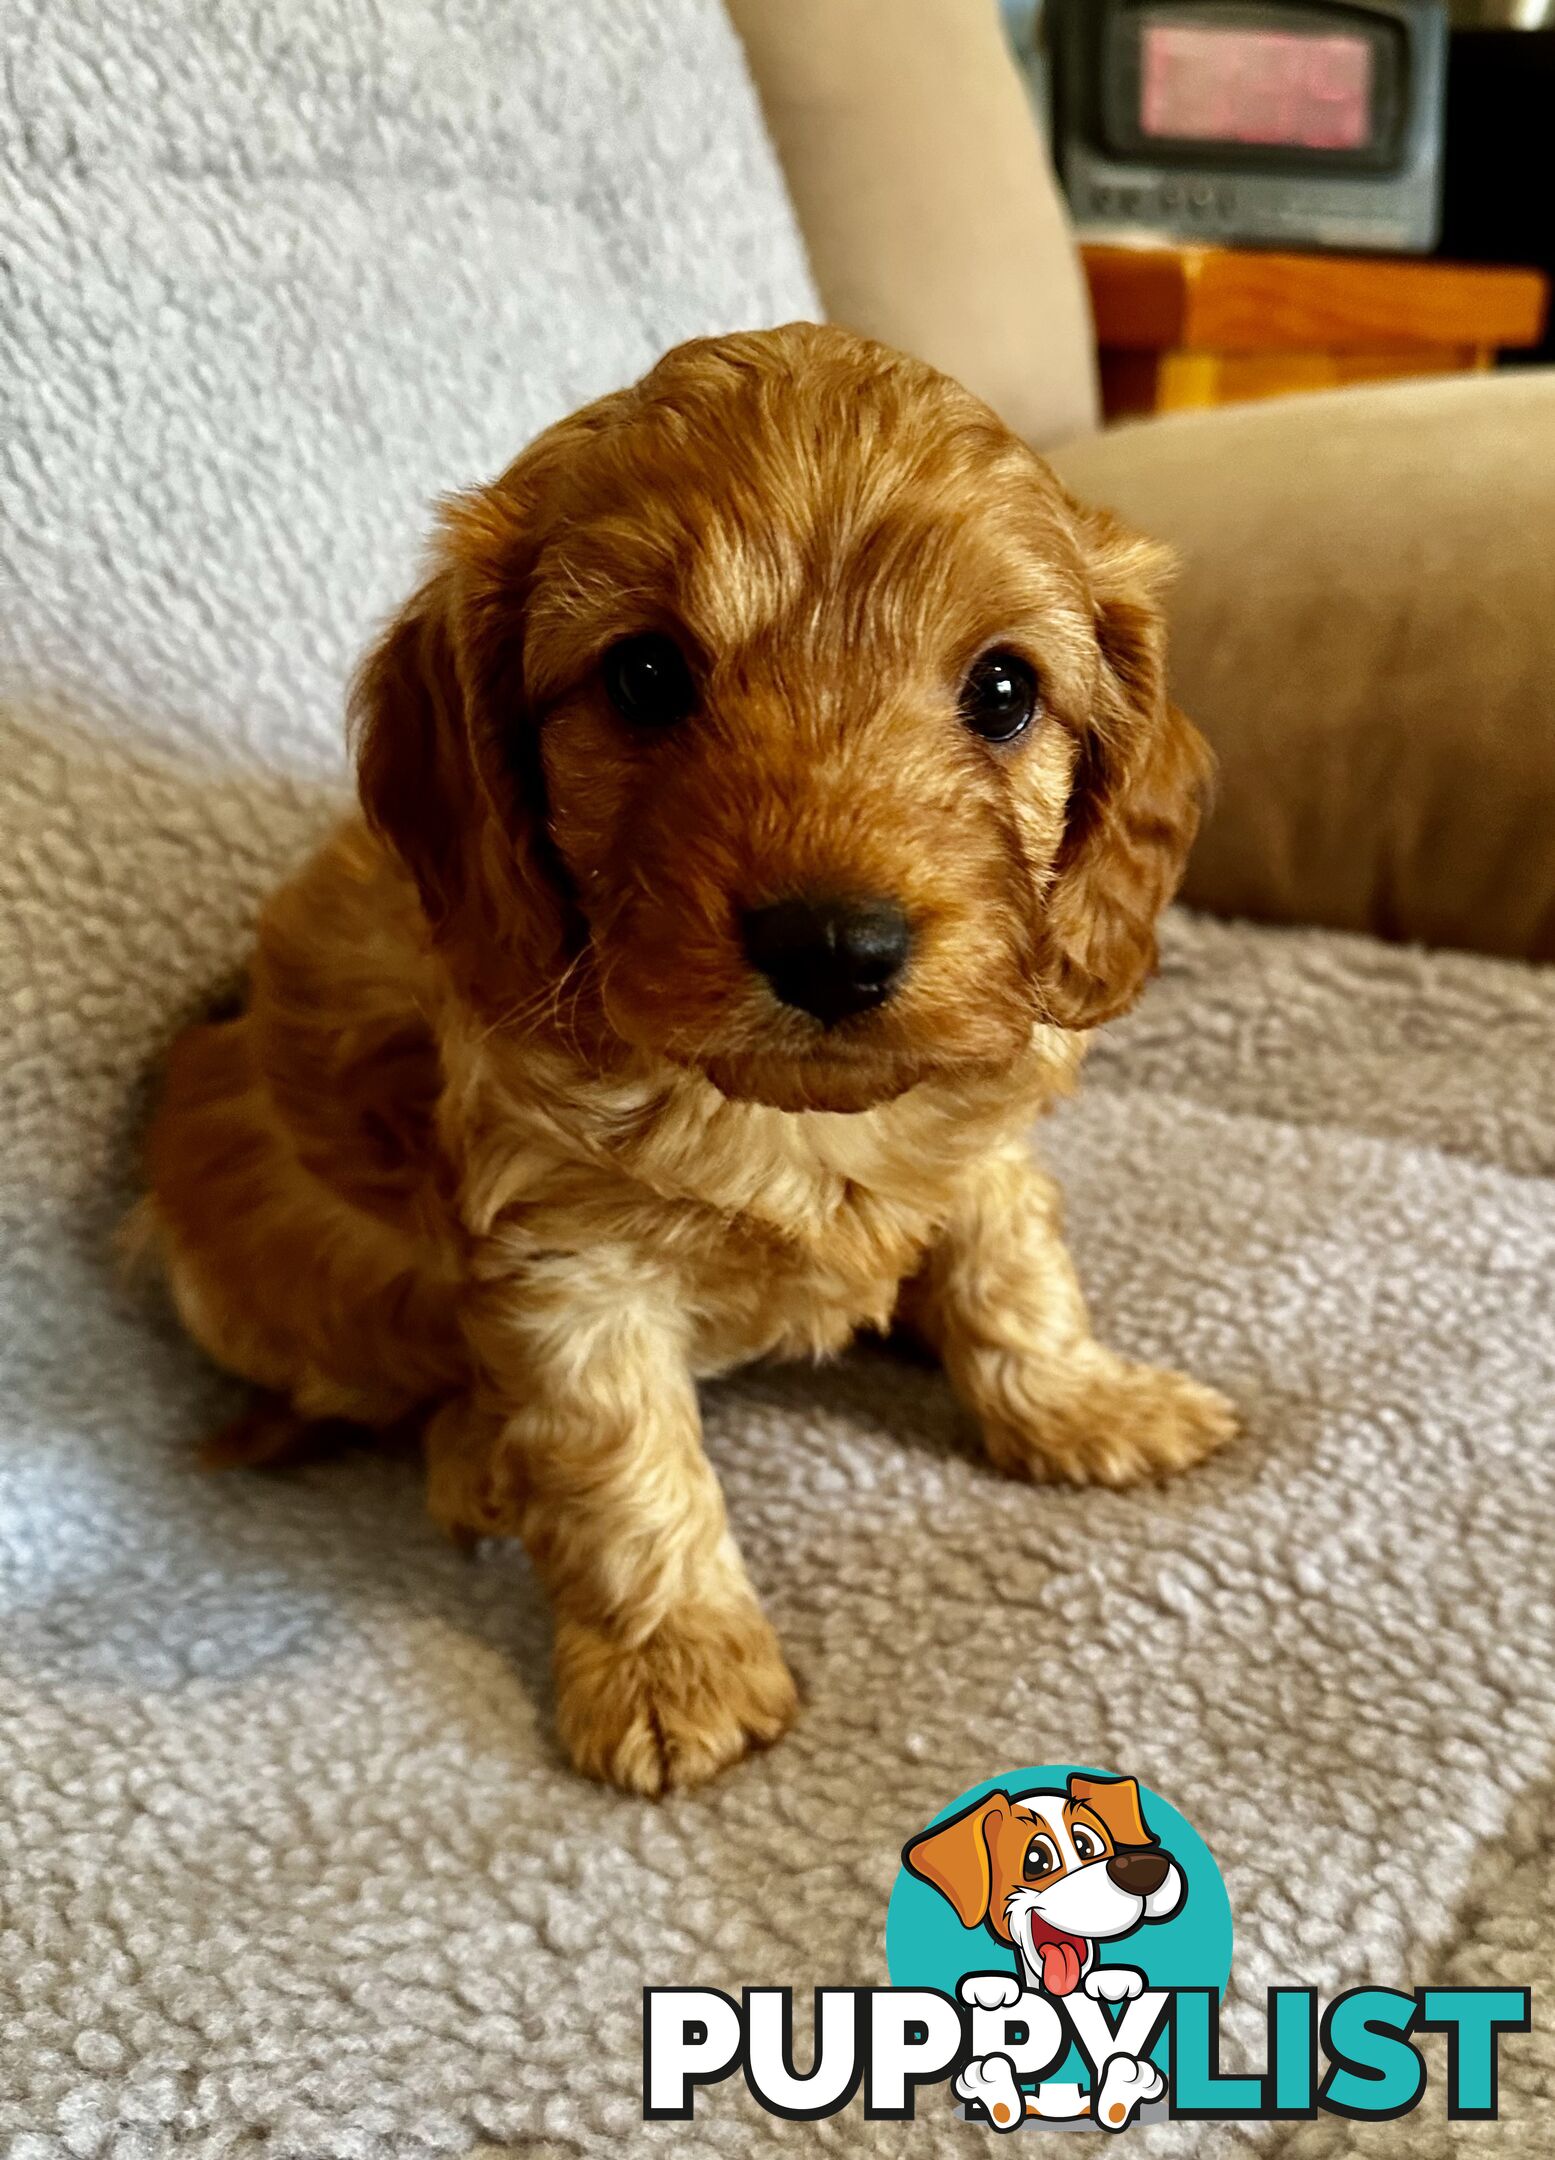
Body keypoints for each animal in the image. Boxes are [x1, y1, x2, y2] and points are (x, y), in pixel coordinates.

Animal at [139, 319, 1235, 1797]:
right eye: (645, 677)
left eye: (1002, 688)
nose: (833, 945)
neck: (792, 1118)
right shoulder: (558, 1259)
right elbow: (620, 1465)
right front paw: (671, 1668)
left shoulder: (986, 1139)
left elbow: (1013, 1275)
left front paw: (1084, 1405)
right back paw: (481, 1458)